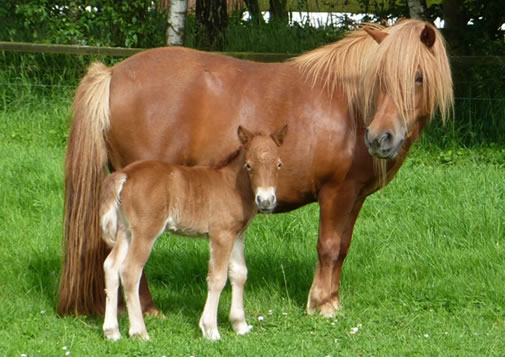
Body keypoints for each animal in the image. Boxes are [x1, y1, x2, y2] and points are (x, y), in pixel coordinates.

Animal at [59, 19, 452, 316]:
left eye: (418, 77)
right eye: (381, 77)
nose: (379, 138)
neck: (350, 106)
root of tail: (112, 74)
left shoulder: (354, 196)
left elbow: (342, 247)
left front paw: (332, 300)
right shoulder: (336, 193)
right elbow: (327, 246)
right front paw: (320, 305)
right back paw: (148, 310)